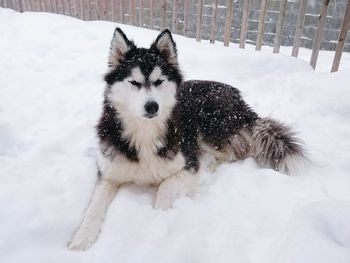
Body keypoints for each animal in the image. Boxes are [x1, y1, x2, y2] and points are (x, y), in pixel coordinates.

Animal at [66, 27, 306, 251]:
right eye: (134, 82)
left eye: (159, 81)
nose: (152, 106)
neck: (145, 133)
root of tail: (239, 100)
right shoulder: (109, 171)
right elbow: (95, 205)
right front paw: (82, 237)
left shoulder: (187, 164)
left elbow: (166, 187)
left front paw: (158, 220)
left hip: (209, 124)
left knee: (231, 152)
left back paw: (210, 163)